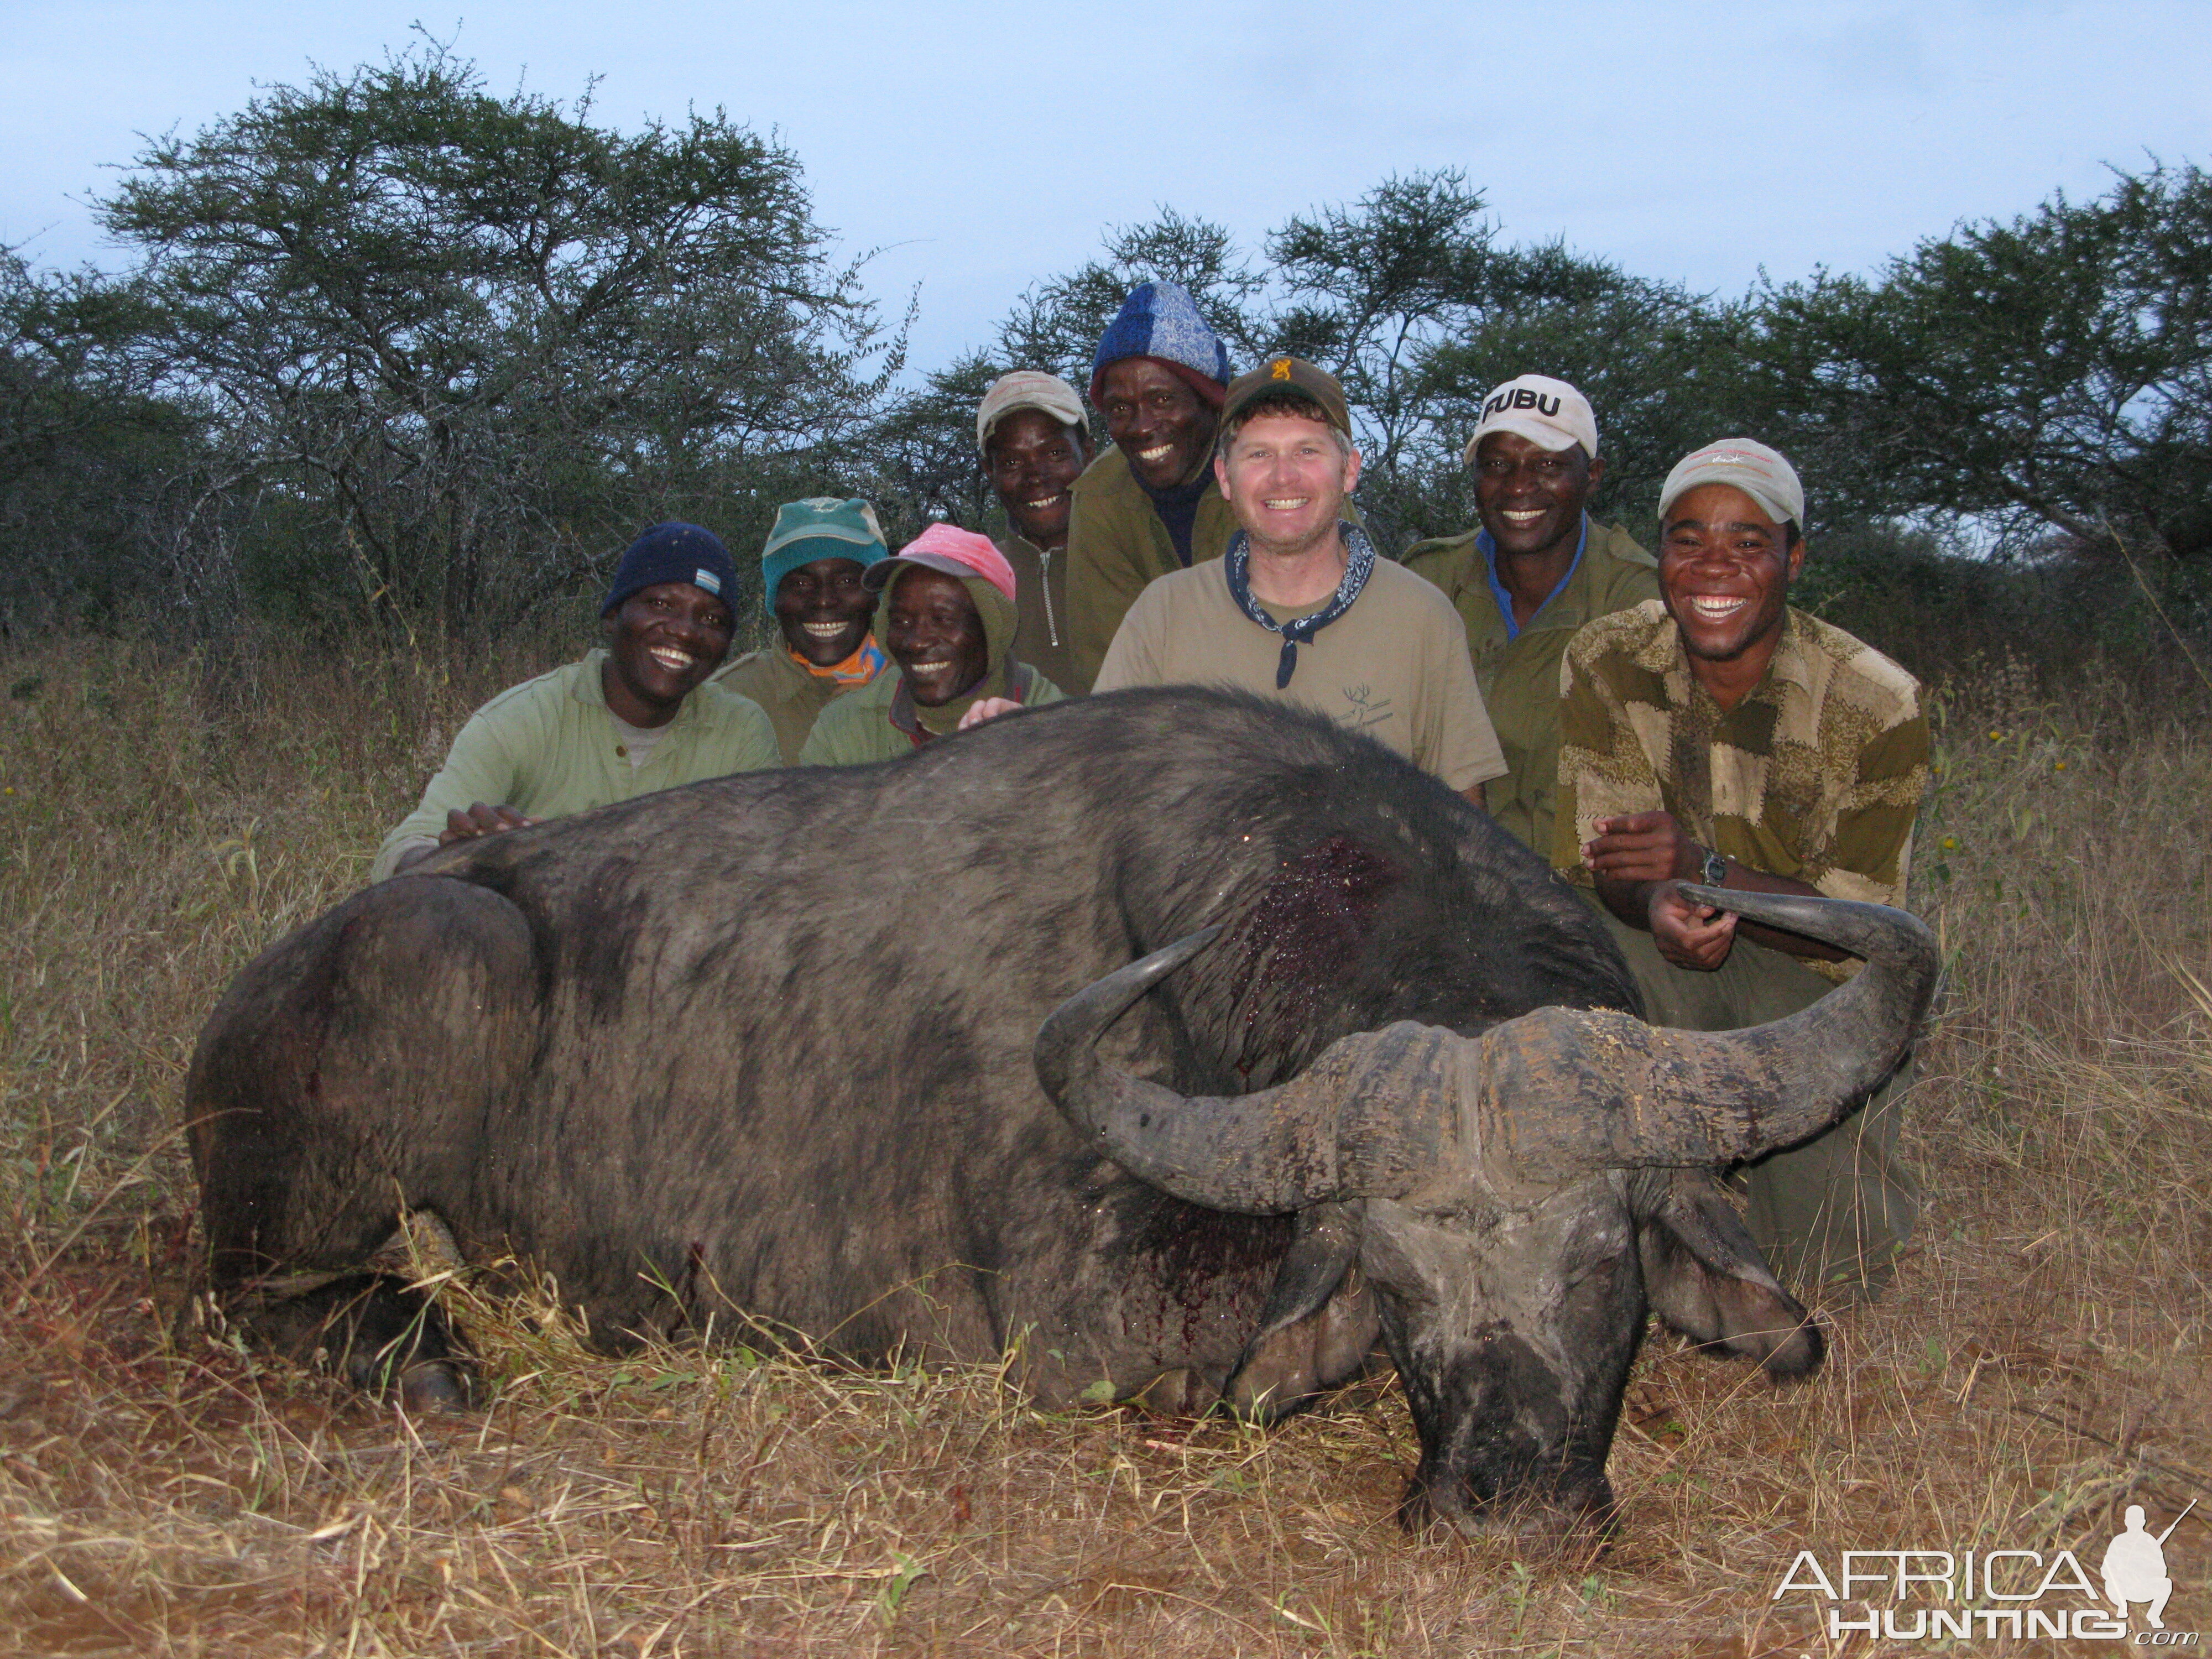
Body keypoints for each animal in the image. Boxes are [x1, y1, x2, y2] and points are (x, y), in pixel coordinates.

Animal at [190, 686, 1938, 1531]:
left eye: (1606, 1258)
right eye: (1389, 1278)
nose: (1502, 1504)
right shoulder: (1077, 1324)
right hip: (443, 961)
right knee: (261, 1288)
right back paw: (421, 1355)